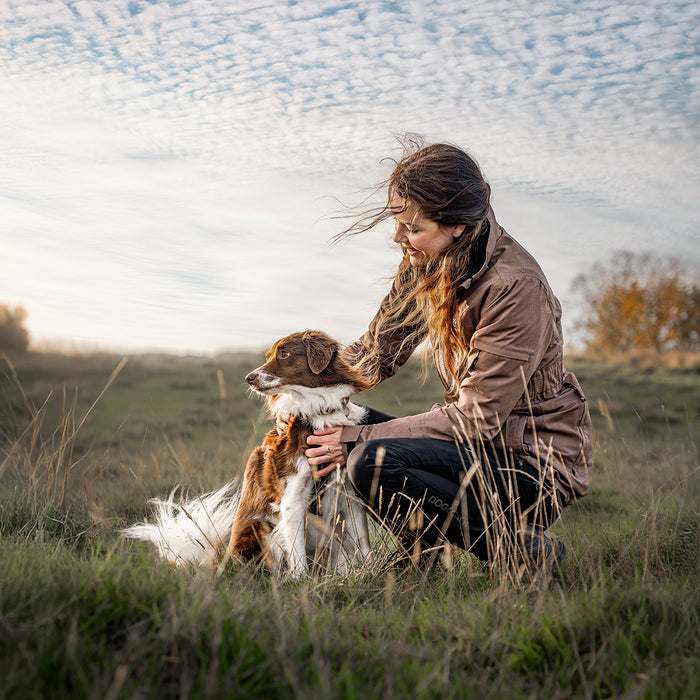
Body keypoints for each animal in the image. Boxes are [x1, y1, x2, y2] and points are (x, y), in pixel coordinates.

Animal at [126, 330, 378, 576]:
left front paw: (372, 573)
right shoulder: (292, 497)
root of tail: (224, 561)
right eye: (269, 356)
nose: (249, 378)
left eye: (284, 354)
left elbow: (363, 541)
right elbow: (297, 555)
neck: (317, 415)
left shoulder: (349, 494)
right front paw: (301, 583)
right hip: (260, 527)